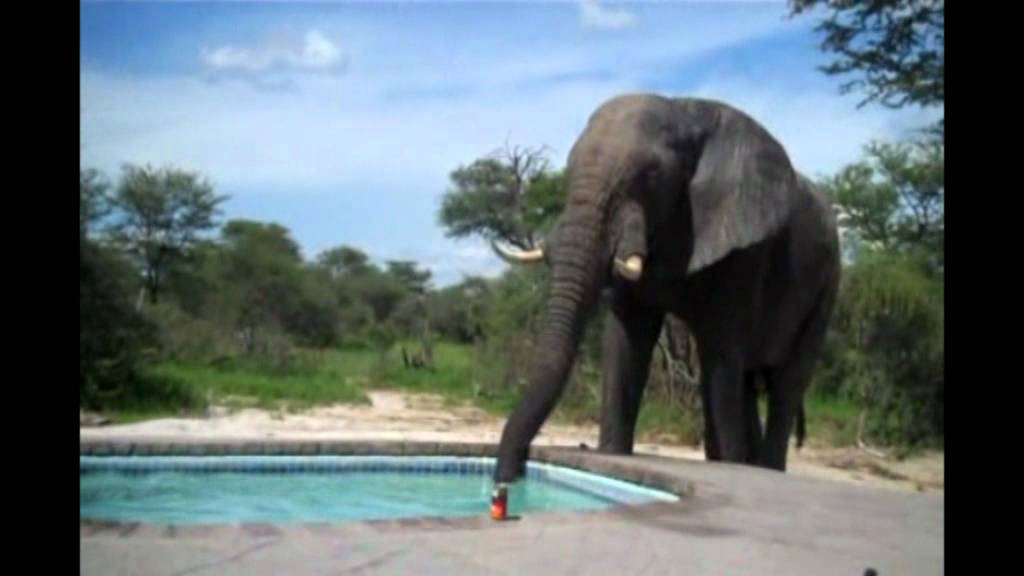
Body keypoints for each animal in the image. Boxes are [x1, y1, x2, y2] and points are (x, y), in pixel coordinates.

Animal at [491, 93, 840, 483]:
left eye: (652, 173)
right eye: (568, 166)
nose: (509, 477)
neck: (685, 109)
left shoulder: (746, 249)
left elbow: (720, 351)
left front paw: (731, 465)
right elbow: (628, 338)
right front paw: (612, 454)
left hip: (828, 285)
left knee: (785, 383)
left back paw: (762, 468)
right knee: (748, 382)